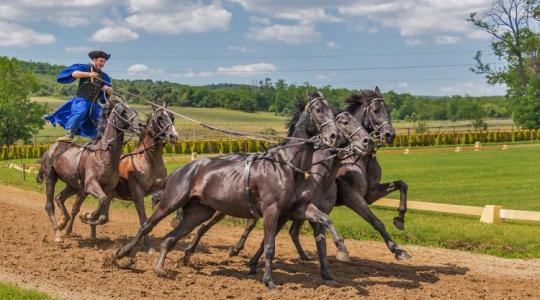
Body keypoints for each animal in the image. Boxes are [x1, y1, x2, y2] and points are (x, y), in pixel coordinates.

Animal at [37, 99, 144, 243]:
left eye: (134, 110)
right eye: (124, 112)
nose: (141, 125)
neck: (103, 155)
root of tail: (49, 149)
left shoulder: (107, 188)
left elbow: (104, 215)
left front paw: (88, 218)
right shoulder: (90, 185)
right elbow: (102, 201)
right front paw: (87, 216)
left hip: (73, 185)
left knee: (59, 198)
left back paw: (62, 223)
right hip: (50, 178)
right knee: (49, 205)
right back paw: (58, 234)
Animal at [112, 102, 178, 250]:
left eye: (172, 116)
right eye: (160, 118)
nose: (173, 136)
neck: (148, 160)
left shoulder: (159, 189)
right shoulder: (138, 195)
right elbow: (144, 220)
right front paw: (148, 247)